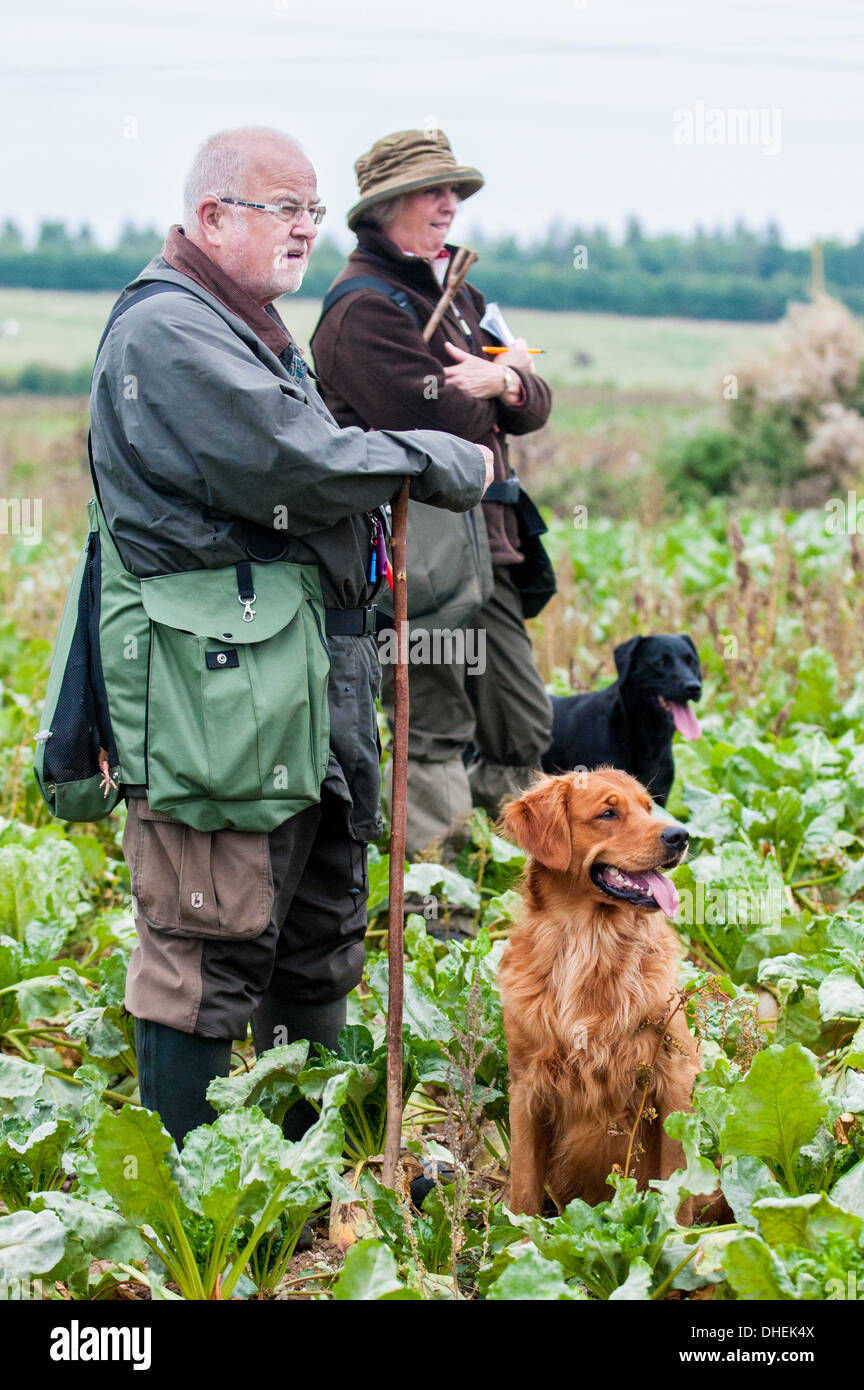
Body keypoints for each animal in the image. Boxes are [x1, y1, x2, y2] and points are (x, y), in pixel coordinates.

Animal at [500, 772, 705, 1217]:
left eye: (648, 807)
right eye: (608, 813)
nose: (680, 835)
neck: (590, 944)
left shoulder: (674, 1080)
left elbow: (677, 1185)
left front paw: (677, 1231)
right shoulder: (525, 1088)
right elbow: (523, 1189)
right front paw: (518, 1236)